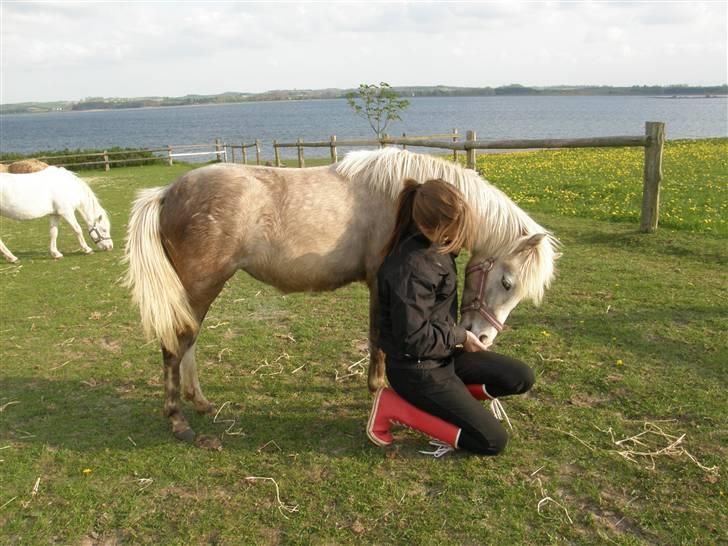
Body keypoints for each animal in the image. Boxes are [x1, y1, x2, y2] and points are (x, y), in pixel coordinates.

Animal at [124, 148, 559, 442]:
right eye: (507, 283)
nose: (480, 337)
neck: (401, 198)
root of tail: (167, 193)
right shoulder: (379, 282)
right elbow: (377, 340)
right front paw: (378, 389)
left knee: (189, 341)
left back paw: (199, 402)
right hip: (200, 285)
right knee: (175, 345)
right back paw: (177, 418)